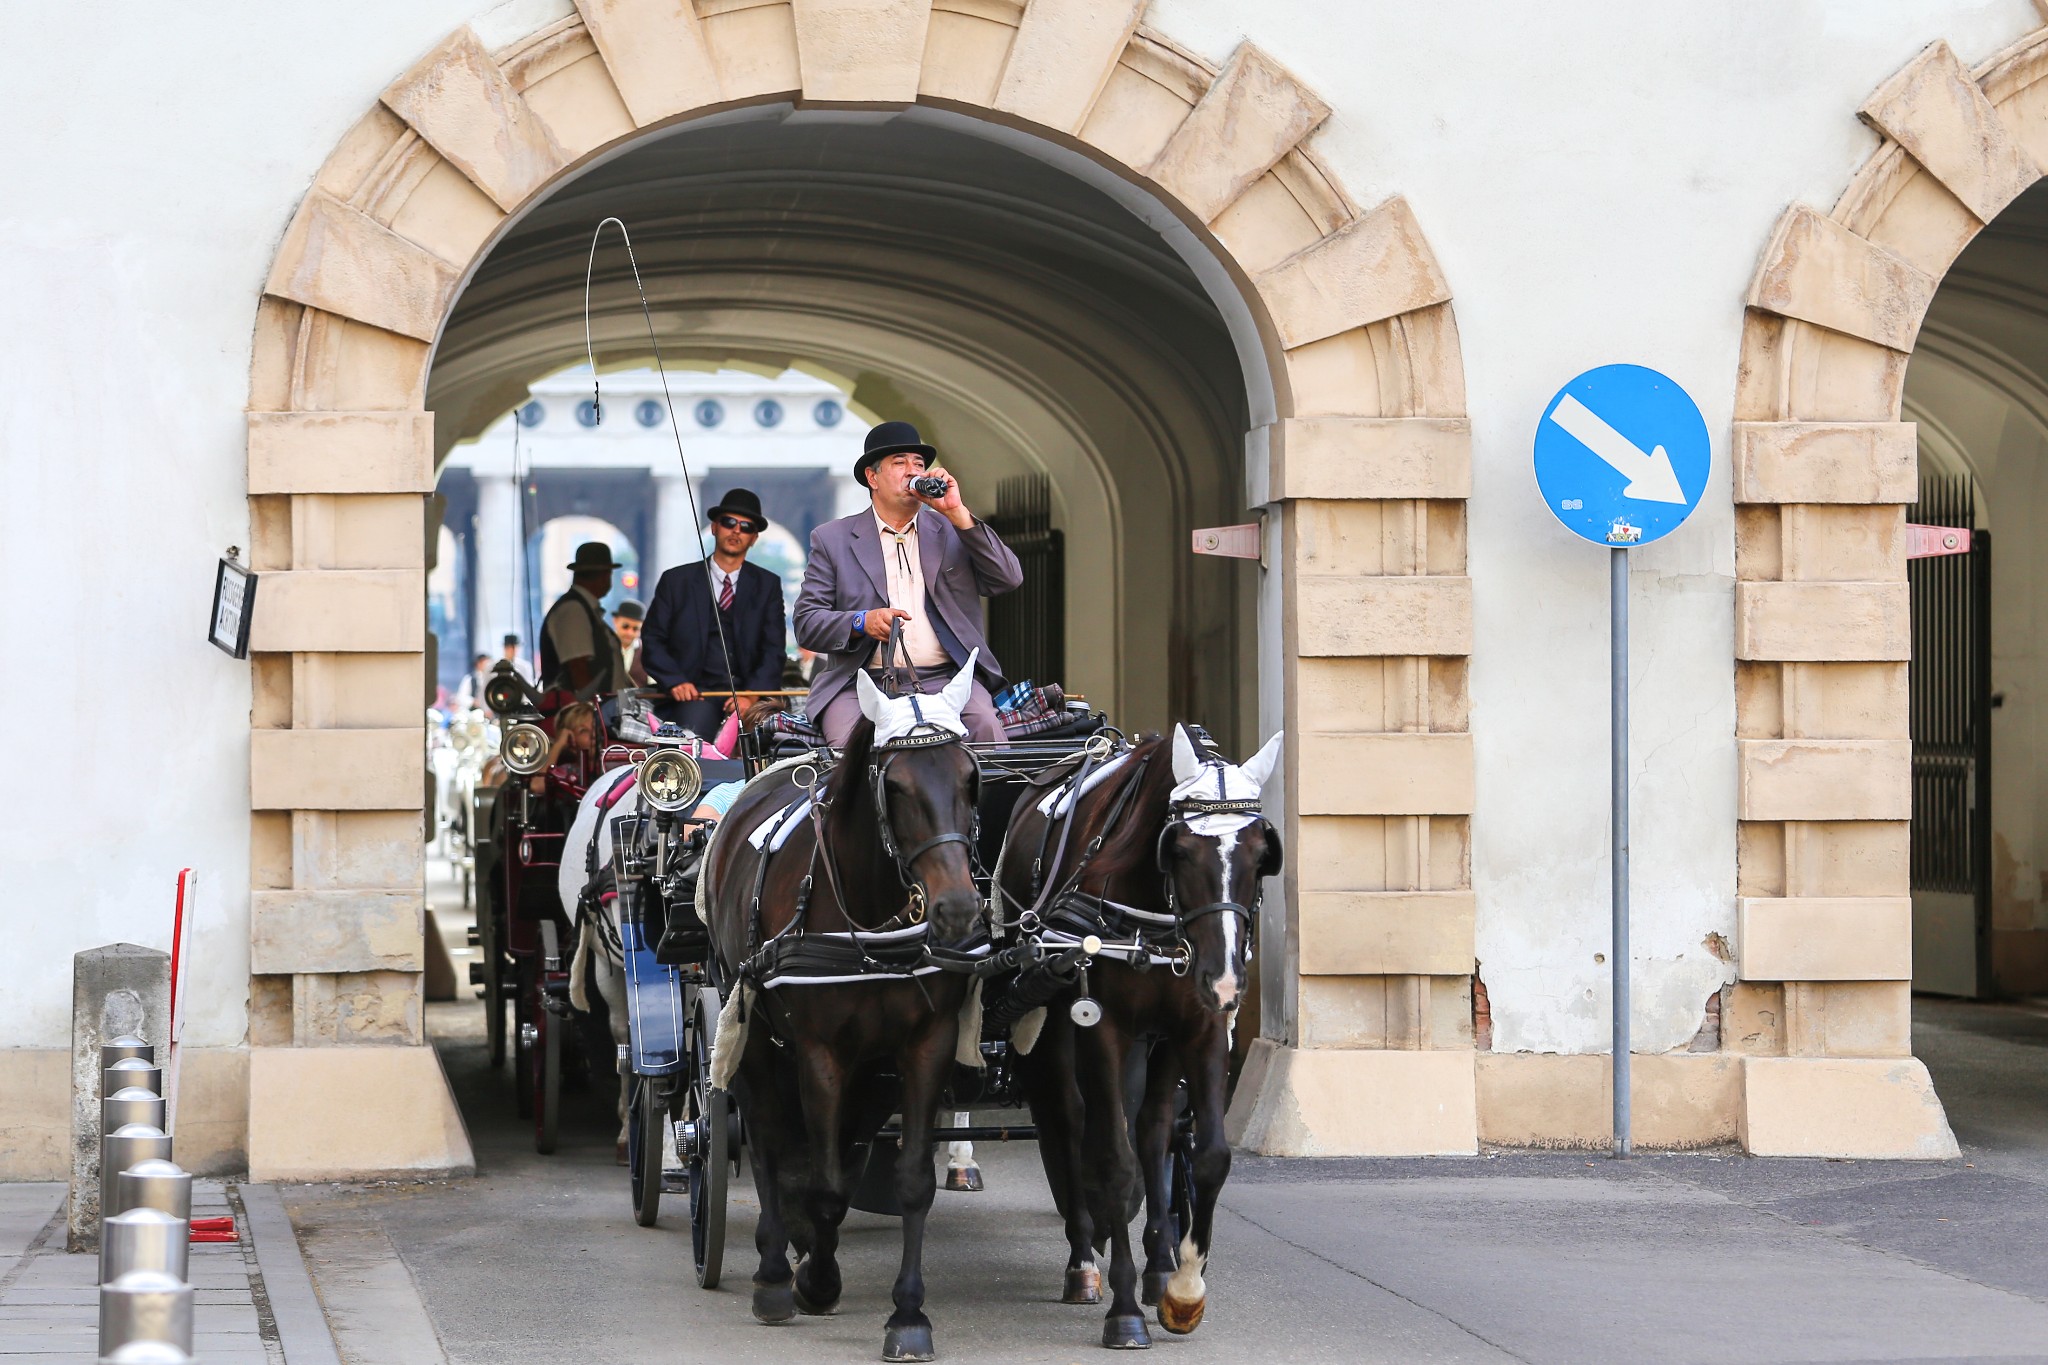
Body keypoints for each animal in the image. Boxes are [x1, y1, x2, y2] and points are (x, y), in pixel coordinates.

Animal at [704, 658, 991, 1358]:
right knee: (768, 1139)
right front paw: (814, 1280)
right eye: (899, 787)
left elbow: (910, 1180)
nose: (957, 910)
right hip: (749, 1027)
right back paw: (775, 1270)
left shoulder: (924, 1044)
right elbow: (826, 1181)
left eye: (970, 779)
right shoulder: (819, 1052)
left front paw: (909, 1315)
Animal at [995, 724, 1277, 1342]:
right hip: (1055, 1027)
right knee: (1071, 1120)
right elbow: (1115, 1163)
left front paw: (1182, 1288)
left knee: (1152, 1133)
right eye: (1181, 850)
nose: (1225, 978)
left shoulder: (1196, 1027)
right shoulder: (1104, 1029)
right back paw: (1083, 1260)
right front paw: (1124, 1312)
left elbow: (1205, 1154)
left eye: (1259, 852)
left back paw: (1158, 1263)